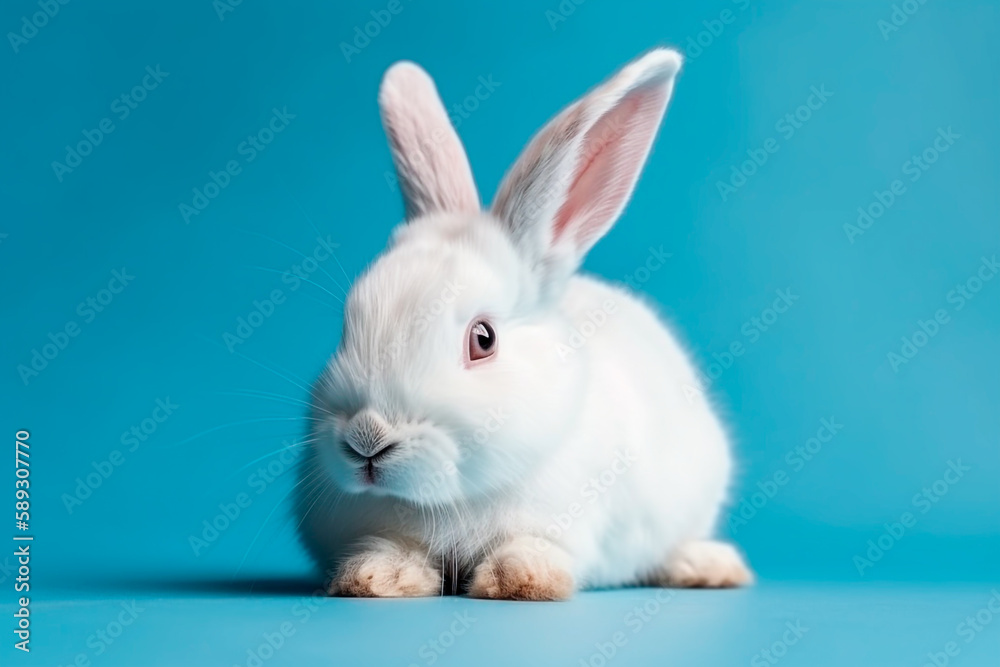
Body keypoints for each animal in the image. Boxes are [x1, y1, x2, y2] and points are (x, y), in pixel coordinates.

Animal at [295, 47, 752, 600]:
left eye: (483, 339)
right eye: (347, 324)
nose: (366, 437)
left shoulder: (568, 524)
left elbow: (535, 547)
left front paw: (519, 579)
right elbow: (392, 547)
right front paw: (375, 577)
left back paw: (706, 566)